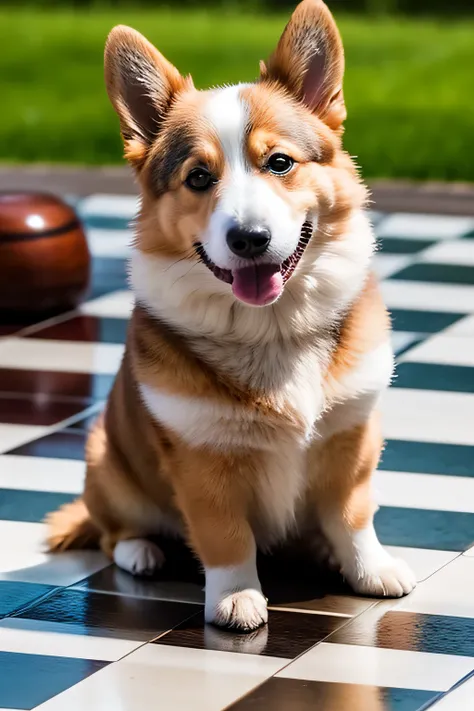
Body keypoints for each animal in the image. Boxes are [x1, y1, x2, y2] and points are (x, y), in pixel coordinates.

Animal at [46, 0, 412, 636]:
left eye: (280, 162)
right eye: (198, 177)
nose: (249, 239)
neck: (270, 327)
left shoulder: (352, 437)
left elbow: (352, 514)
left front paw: (370, 570)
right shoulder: (201, 458)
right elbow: (225, 536)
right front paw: (236, 599)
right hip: (106, 461)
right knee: (114, 530)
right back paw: (142, 551)